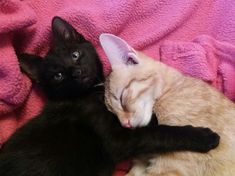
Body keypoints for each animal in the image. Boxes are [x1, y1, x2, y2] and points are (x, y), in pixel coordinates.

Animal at [0, 16, 219, 176]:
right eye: (58, 76)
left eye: (75, 55)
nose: (77, 72)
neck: (91, 92)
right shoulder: (117, 140)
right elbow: (158, 132)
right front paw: (203, 136)